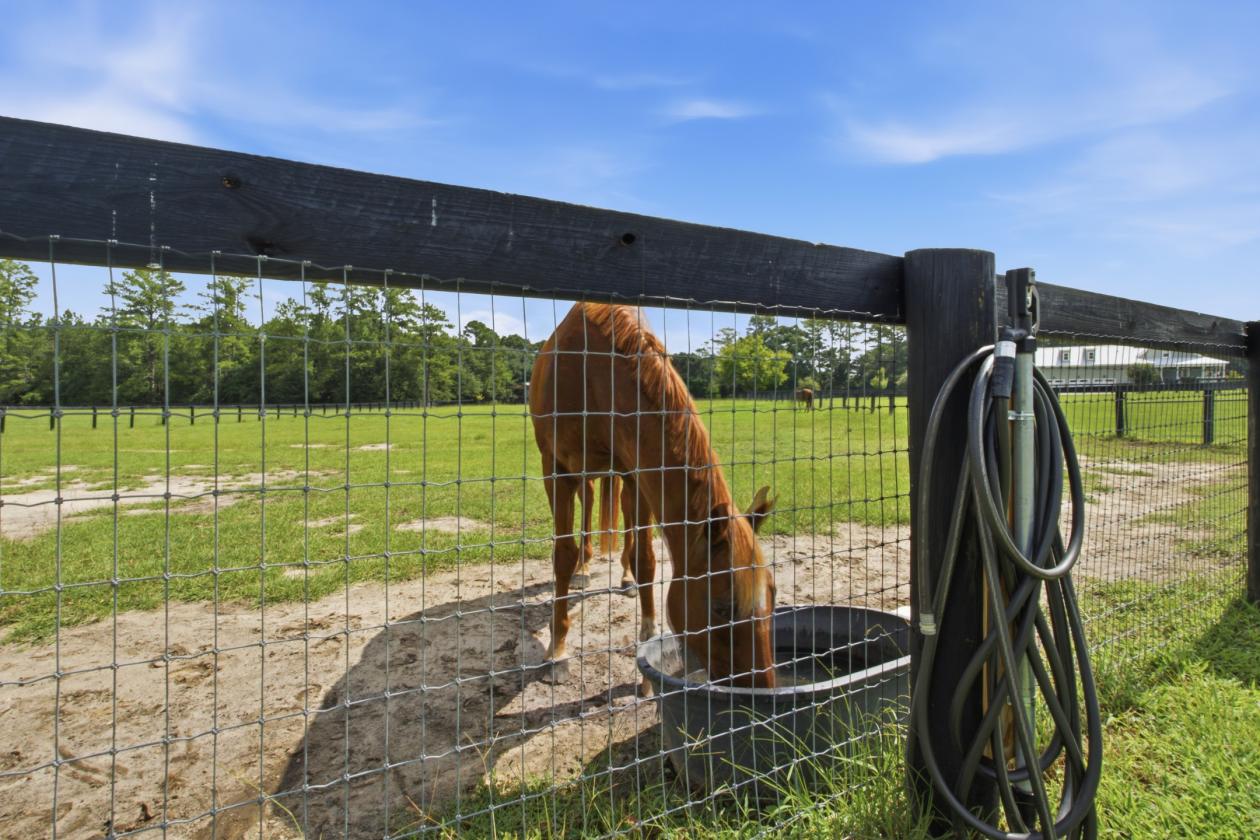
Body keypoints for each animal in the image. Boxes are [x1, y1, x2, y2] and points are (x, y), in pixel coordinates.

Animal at [530, 303, 778, 688]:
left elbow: (645, 558)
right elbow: (562, 555)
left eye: (773, 593)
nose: (763, 688)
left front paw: (647, 651)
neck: (592, 374)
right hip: (581, 476)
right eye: (722, 608)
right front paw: (557, 652)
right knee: (587, 511)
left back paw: (625, 578)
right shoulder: (556, 470)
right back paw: (583, 568)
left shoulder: (637, 472)